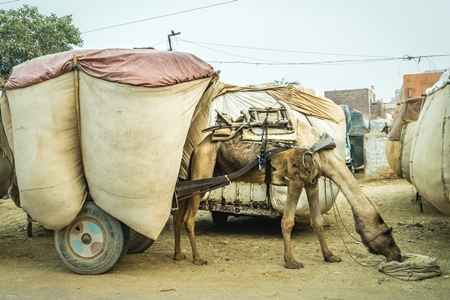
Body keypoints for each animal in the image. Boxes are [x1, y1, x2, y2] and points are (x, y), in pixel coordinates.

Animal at [171, 118, 400, 268]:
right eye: (388, 236)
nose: (398, 255)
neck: (321, 154)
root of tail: (198, 146)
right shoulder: (294, 181)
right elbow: (287, 221)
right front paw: (291, 261)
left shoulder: (311, 182)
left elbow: (317, 220)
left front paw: (330, 256)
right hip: (204, 164)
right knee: (188, 217)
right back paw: (198, 258)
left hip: (203, 171)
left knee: (178, 213)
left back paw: (179, 255)